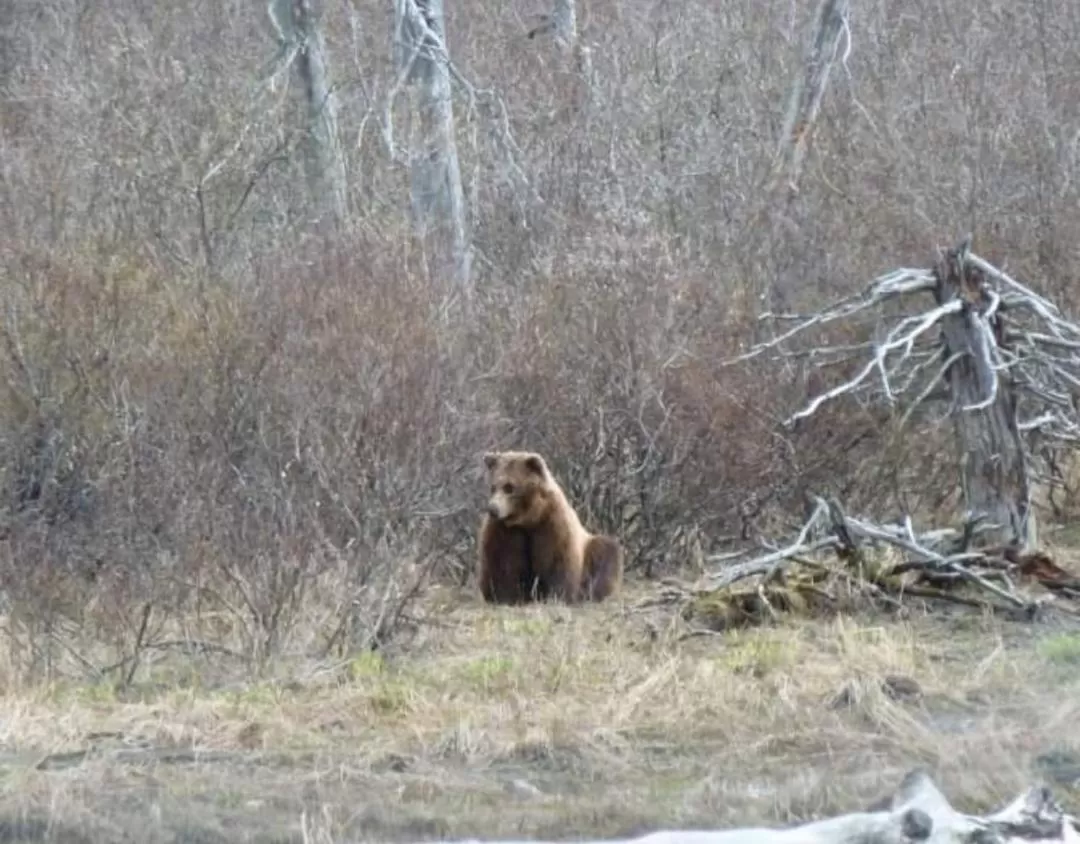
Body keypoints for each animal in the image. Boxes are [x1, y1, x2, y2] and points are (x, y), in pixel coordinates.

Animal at [477, 450, 624, 605]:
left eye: (509, 487)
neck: (529, 518)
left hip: (590, 550)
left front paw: (557, 595)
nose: (492, 508)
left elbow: (557, 561)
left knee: (606, 551)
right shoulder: (505, 532)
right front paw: (506, 597)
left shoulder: (552, 525)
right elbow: (504, 563)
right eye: (493, 487)